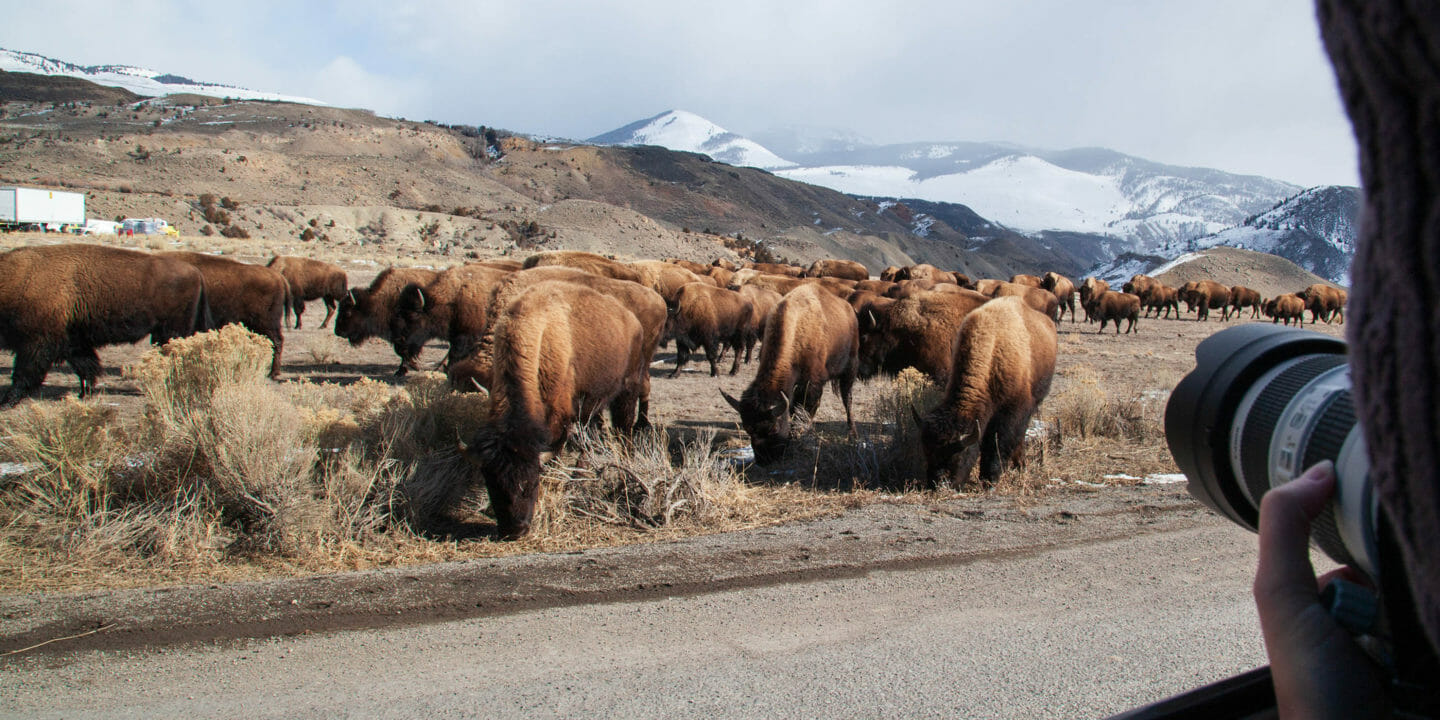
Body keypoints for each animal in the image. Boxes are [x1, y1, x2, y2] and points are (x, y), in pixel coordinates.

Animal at [0, 244, 210, 406]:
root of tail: (196, 272)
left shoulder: (36, 343)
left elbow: (24, 373)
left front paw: (8, 400)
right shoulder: (73, 342)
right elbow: (86, 367)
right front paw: (84, 394)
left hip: (170, 331)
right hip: (162, 333)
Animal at [460, 282, 648, 541]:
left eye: (530, 483)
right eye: (491, 484)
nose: (514, 529)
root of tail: (632, 320)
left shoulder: (560, 418)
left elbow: (555, 451)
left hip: (626, 390)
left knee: (623, 430)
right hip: (593, 404)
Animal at [720, 283, 852, 463]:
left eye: (774, 429)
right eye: (747, 428)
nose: (764, 461)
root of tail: (849, 309)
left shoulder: (812, 385)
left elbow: (804, 411)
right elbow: (794, 408)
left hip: (850, 369)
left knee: (847, 399)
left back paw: (852, 432)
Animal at [921, 295, 1059, 486]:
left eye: (959, 455)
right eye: (927, 453)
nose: (938, 484)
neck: (992, 350)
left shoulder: (1013, 411)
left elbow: (998, 442)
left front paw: (990, 479)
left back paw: (1020, 464)